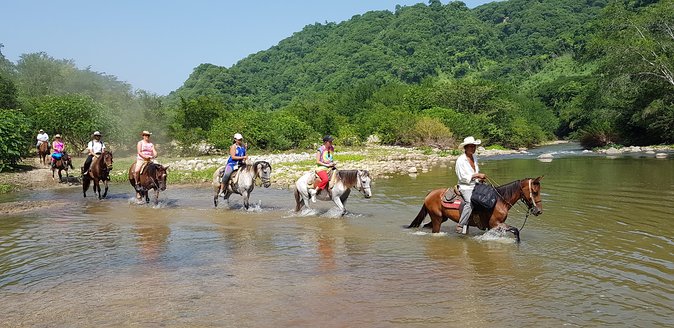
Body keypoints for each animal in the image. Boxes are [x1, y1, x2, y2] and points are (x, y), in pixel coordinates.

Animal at [404, 177, 540, 241]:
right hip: (437, 218)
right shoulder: (495, 224)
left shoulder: (494, 226)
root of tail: (430, 194)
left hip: (441, 218)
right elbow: (516, 230)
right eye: (534, 191)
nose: (538, 211)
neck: (500, 201)